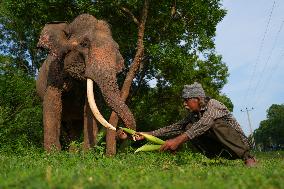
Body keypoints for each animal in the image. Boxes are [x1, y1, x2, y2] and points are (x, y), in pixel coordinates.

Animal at [36, 14, 136, 151]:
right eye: (84, 44)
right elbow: (52, 101)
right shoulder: (54, 69)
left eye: (117, 48)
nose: (121, 132)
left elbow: (90, 107)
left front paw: (87, 153)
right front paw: (53, 154)